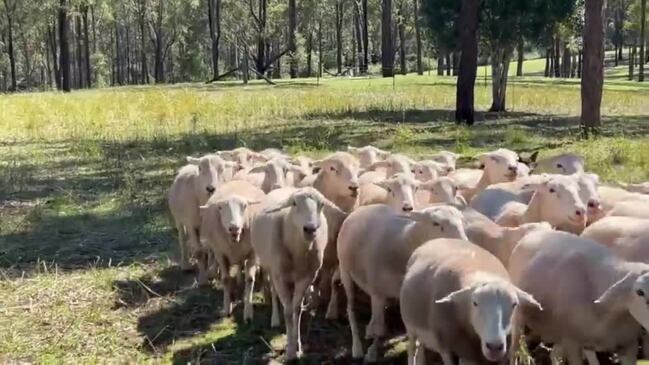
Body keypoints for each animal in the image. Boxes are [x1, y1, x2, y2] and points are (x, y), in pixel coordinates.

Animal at [197, 181, 264, 318]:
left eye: (244, 206)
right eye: (220, 208)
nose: (234, 228)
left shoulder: (253, 253)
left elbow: (250, 279)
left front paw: (248, 311)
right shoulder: (220, 253)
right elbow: (226, 279)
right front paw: (227, 307)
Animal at [249, 186, 344, 360]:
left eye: (321, 204)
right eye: (294, 203)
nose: (310, 229)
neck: (298, 251)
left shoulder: (306, 277)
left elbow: (296, 309)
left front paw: (297, 345)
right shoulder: (280, 276)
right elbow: (287, 311)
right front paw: (290, 350)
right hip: (271, 269)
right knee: (273, 292)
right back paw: (275, 319)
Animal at [336, 203, 468, 360]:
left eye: (462, 221)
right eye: (435, 223)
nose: (464, 244)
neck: (405, 242)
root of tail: (363, 208)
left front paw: (419, 357)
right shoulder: (378, 293)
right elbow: (379, 329)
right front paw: (371, 353)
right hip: (345, 271)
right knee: (351, 308)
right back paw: (357, 347)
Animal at [400, 237, 540, 362]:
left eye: (514, 304)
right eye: (475, 303)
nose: (494, 347)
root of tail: (435, 239)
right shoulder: (445, 347)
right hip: (410, 327)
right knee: (412, 349)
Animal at [508, 229, 649, 364]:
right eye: (640, 292)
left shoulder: (629, 344)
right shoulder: (572, 343)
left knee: (554, 354)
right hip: (519, 318)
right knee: (514, 348)